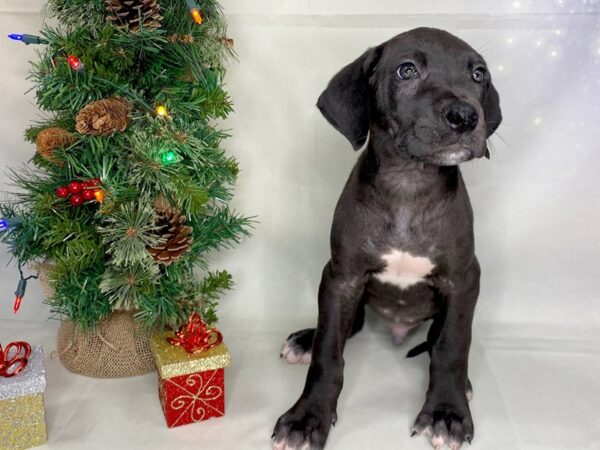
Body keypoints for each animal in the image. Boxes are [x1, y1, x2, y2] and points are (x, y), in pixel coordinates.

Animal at [272, 28, 502, 450]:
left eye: (478, 74)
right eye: (406, 70)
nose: (465, 116)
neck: (409, 184)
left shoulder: (463, 279)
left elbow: (452, 346)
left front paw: (447, 412)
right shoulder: (341, 278)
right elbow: (328, 354)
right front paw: (308, 417)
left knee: (437, 338)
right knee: (347, 327)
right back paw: (306, 340)